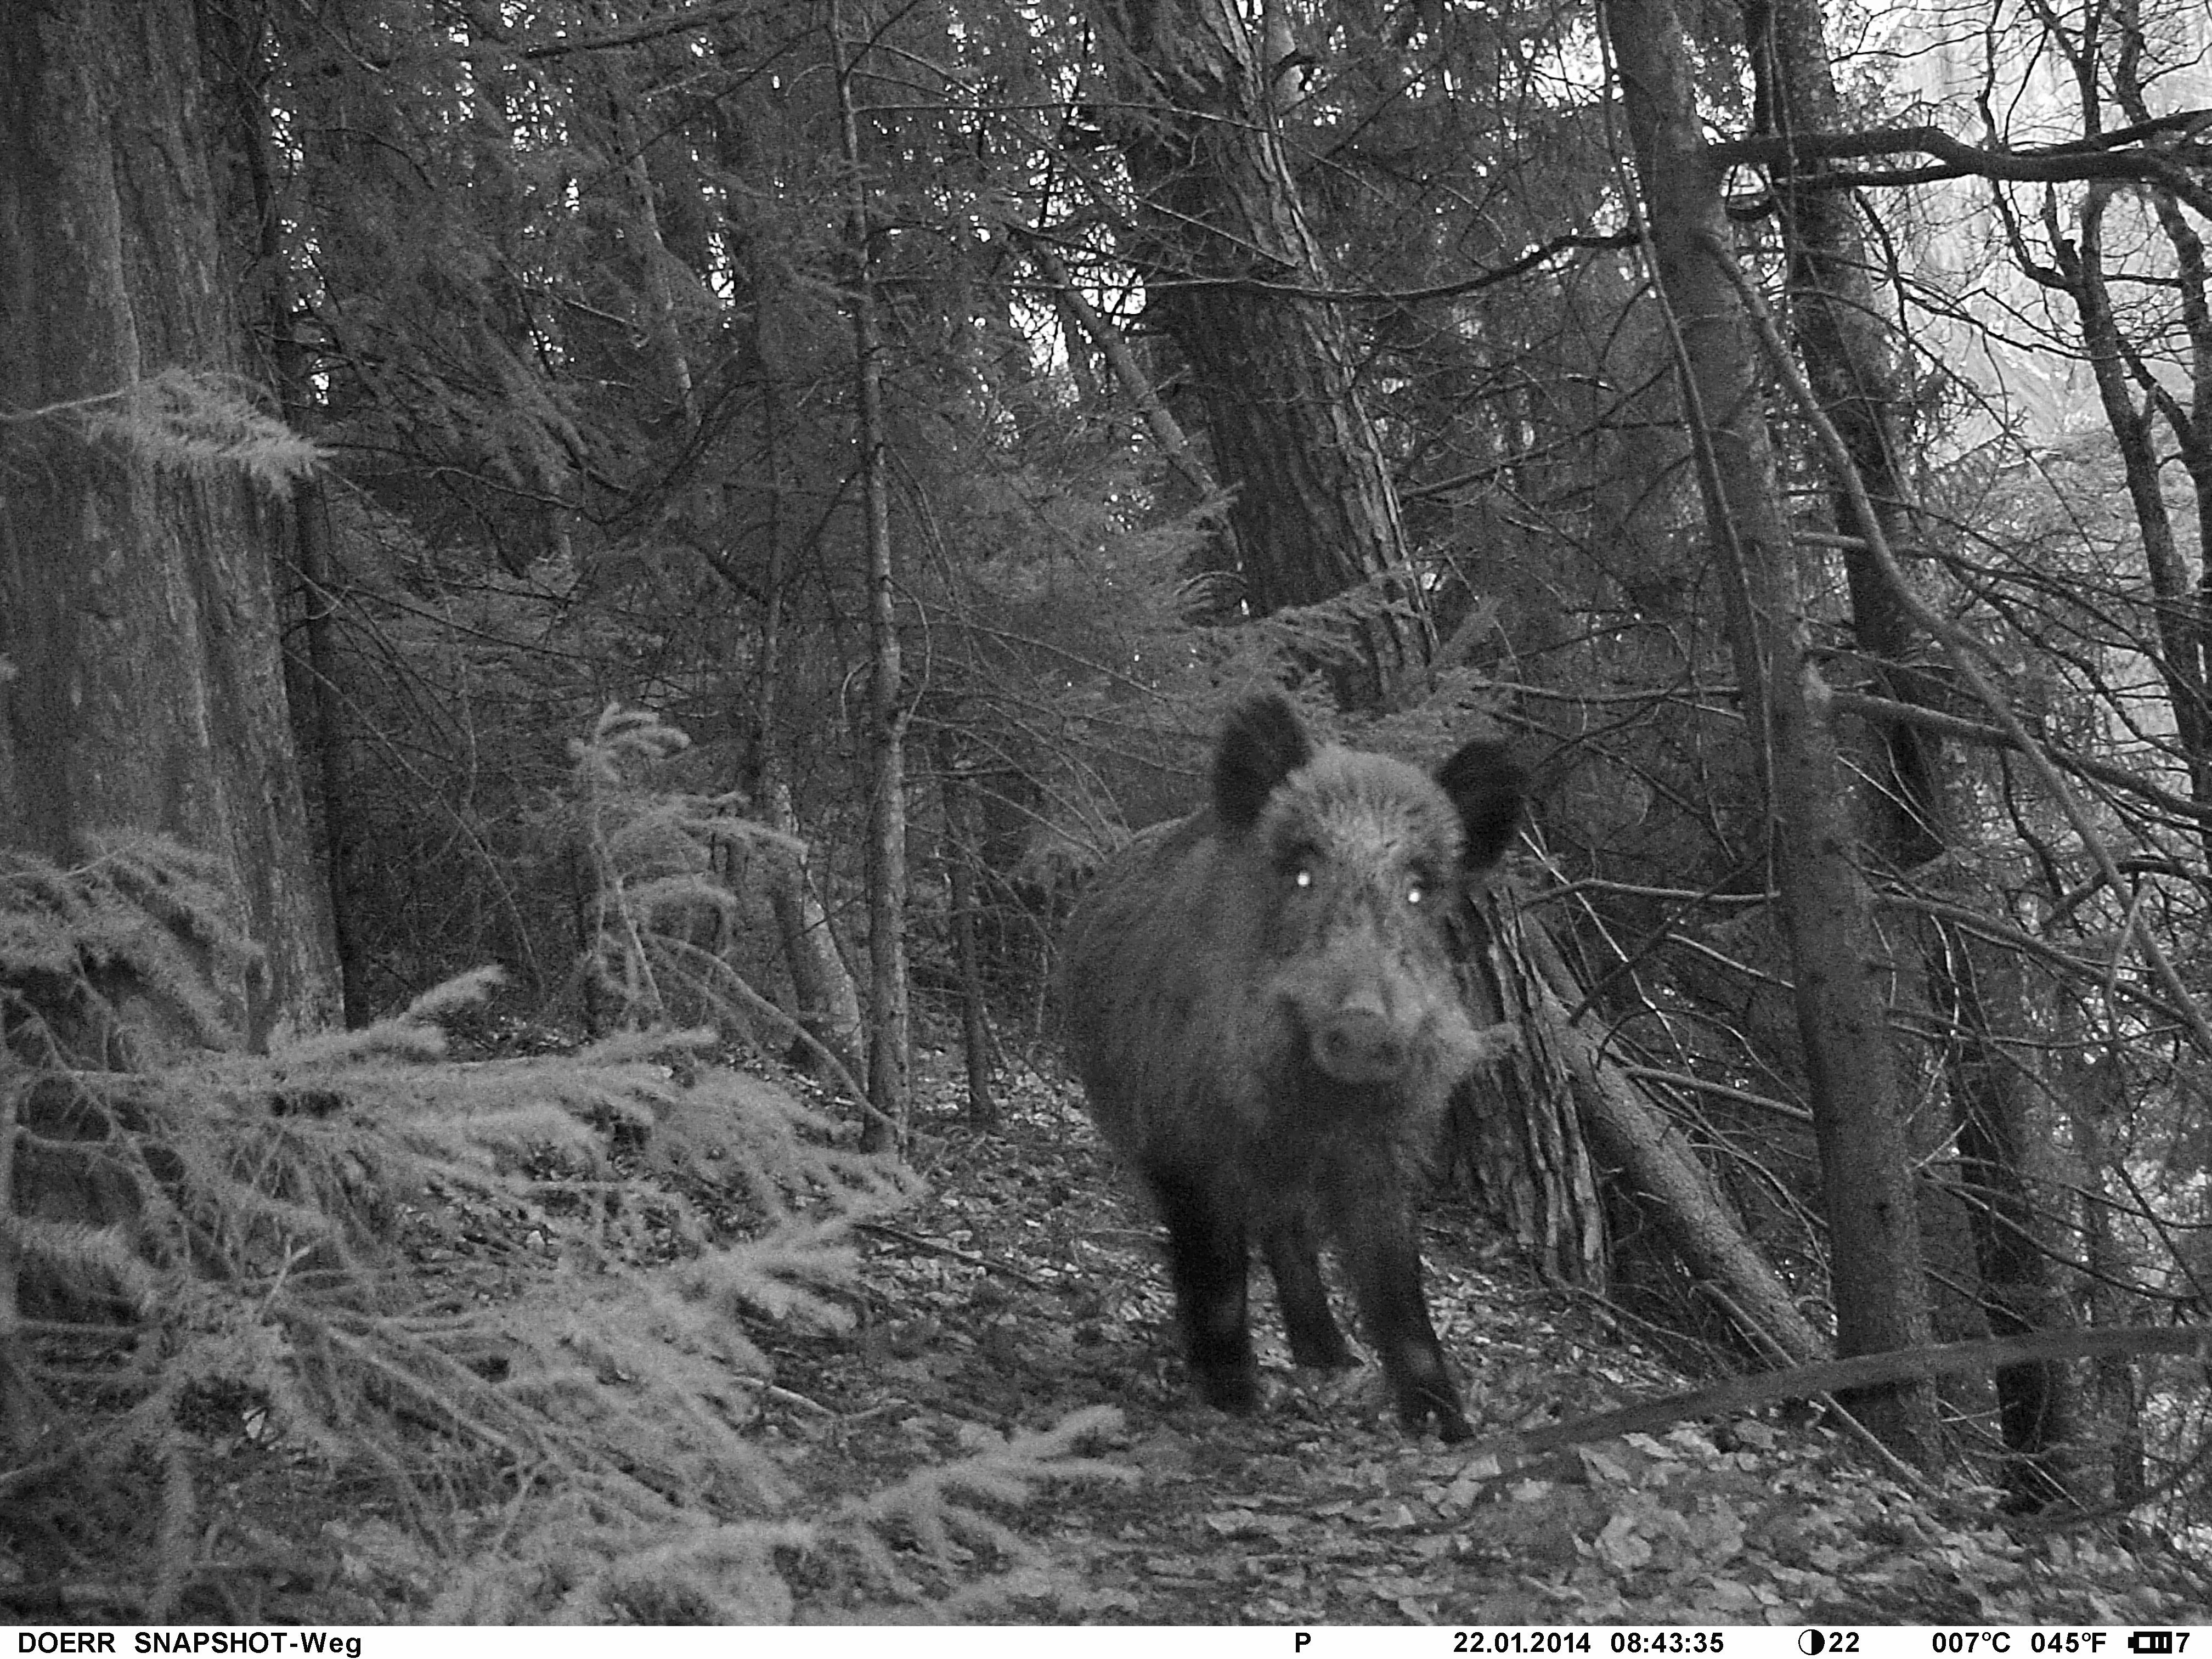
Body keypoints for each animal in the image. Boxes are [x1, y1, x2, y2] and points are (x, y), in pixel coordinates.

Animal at [1058, 693, 1525, 1440]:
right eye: (1303, 873)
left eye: (1420, 891)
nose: (1363, 1028)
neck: (1310, 1112)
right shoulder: (1182, 1139)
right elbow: (1216, 1270)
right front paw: (1234, 1398)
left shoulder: (1382, 1155)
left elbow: (1399, 1286)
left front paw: (1447, 1427)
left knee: (1291, 1238)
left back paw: (1330, 1357)